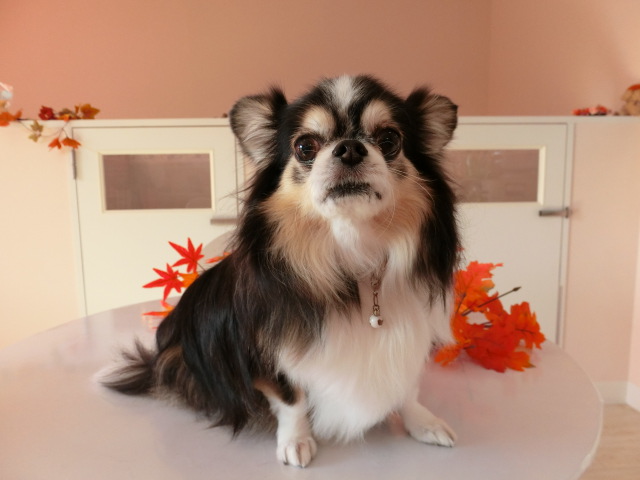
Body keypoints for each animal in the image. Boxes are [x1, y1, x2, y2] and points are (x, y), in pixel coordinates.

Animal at [102, 74, 460, 467]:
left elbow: (407, 389)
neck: (353, 254)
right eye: (305, 146)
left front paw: (422, 422)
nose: (349, 149)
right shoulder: (267, 351)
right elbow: (292, 400)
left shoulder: (410, 338)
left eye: (390, 140)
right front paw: (295, 441)